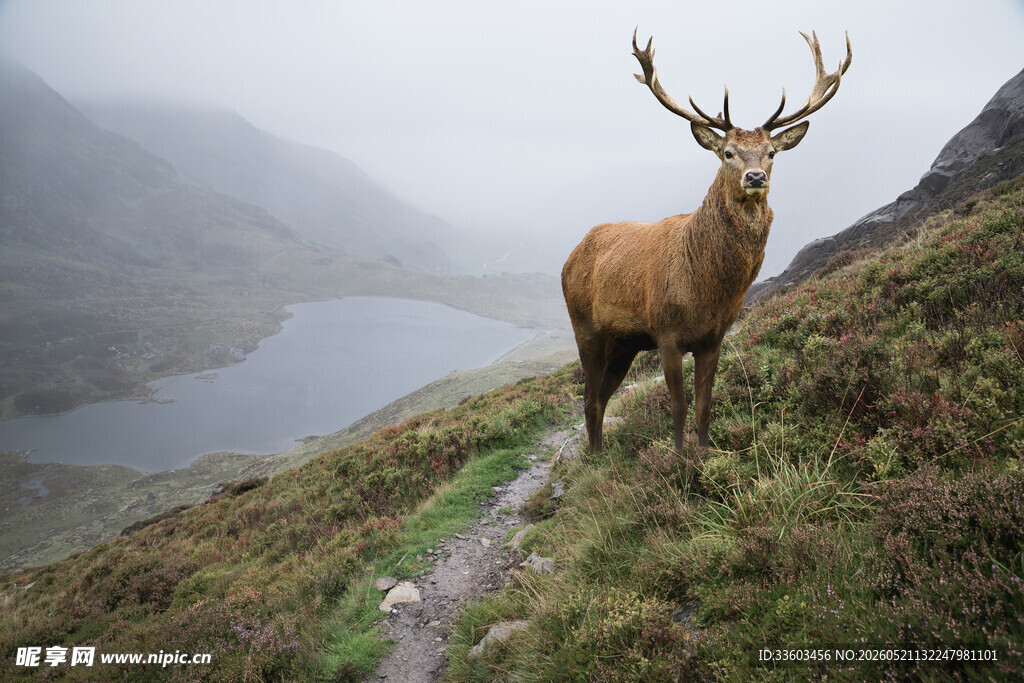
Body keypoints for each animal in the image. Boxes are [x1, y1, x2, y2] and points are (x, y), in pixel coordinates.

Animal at [562, 29, 851, 455]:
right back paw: (595, 456)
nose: (755, 177)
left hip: (625, 344)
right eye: (727, 152)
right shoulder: (666, 333)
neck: (706, 291)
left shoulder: (714, 337)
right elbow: (678, 406)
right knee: (590, 397)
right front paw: (680, 458)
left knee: (602, 395)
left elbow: (704, 405)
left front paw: (704, 452)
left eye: (771, 153)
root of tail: (569, 257)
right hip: (585, 327)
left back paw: (598, 454)